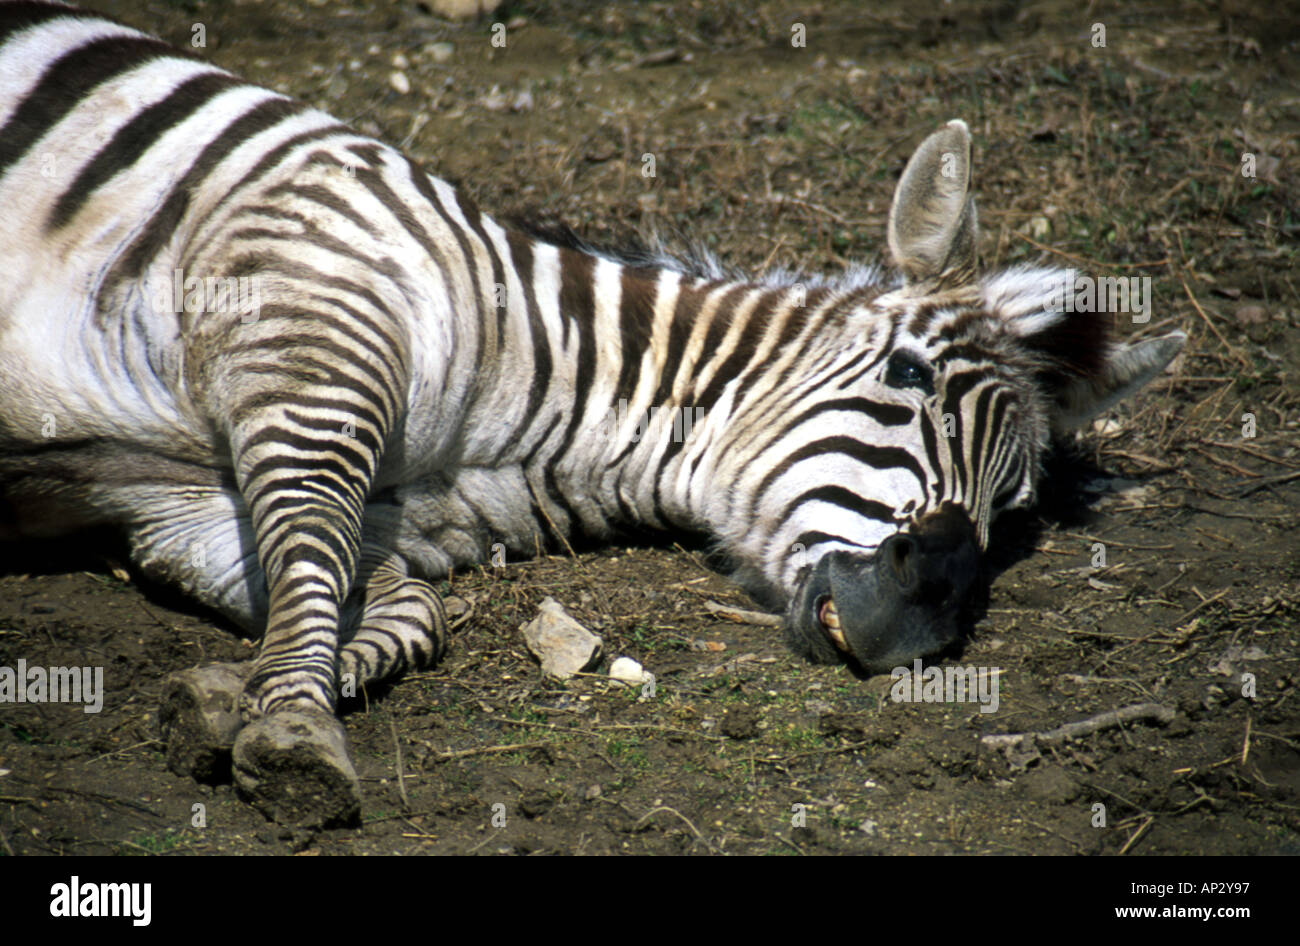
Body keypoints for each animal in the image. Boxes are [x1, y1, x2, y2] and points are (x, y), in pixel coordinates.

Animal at [0, 0, 1190, 826]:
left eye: (1013, 505)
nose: (919, 631)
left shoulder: (177, 503)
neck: (536, 403)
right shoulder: (306, 325)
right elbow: (313, 556)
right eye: (901, 374)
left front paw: (233, 698)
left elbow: (393, 604)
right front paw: (295, 724)